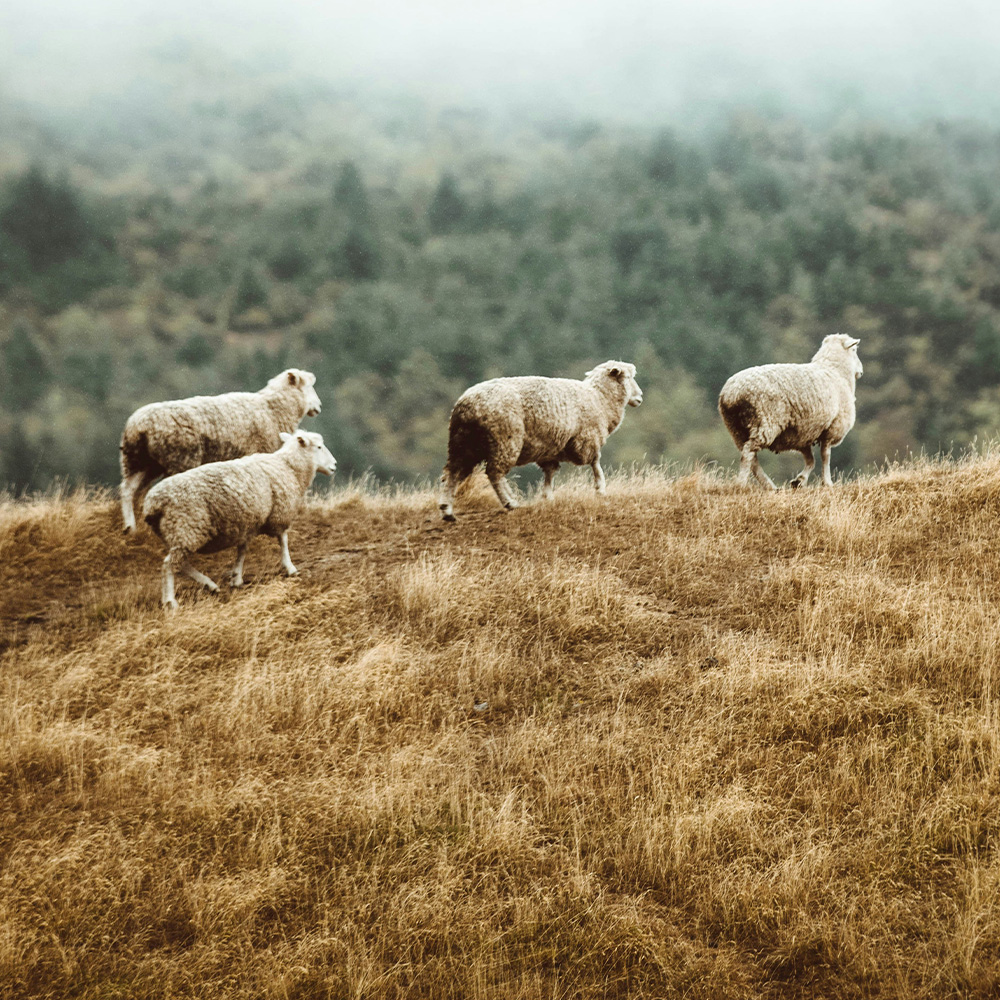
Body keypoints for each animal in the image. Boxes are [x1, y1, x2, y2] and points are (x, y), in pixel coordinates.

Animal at [119, 369, 322, 533]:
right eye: (309, 387)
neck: (272, 409)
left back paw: (131, 527)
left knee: (129, 490)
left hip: (138, 461)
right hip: (179, 458)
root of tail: (138, 426)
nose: (319, 407)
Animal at [141, 430, 335, 609]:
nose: (334, 465)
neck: (288, 467)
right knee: (169, 565)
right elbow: (283, 540)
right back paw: (170, 601)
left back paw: (210, 585)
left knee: (181, 564)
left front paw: (236, 577)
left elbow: (242, 550)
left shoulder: (249, 522)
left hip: (176, 533)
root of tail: (153, 503)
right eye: (319, 447)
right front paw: (290, 567)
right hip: (186, 528)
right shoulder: (279, 513)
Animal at [438, 360, 642, 521]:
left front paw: (547, 497)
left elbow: (550, 473)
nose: (639, 397)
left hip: (462, 444)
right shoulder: (588, 439)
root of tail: (466, 405)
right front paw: (600, 489)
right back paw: (510, 502)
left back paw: (447, 510)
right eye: (629, 377)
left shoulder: (551, 450)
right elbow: (595, 462)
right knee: (494, 473)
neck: (600, 399)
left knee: (452, 472)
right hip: (504, 440)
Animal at [718, 333, 863, 489]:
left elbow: (811, 460)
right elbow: (825, 456)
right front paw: (827, 482)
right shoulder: (832, 428)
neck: (835, 371)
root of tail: (732, 393)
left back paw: (770, 486)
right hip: (766, 422)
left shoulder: (803, 434)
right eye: (854, 349)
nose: (861, 371)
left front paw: (799, 481)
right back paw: (741, 483)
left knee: (752, 459)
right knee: (748, 453)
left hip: (736, 428)